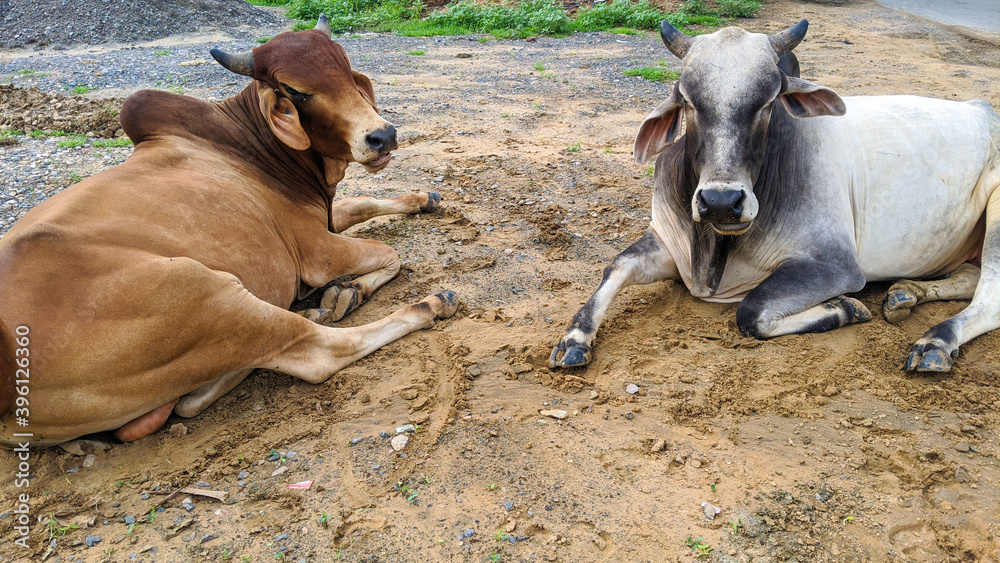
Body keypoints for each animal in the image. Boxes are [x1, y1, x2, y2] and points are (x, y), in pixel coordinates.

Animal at [0, 17, 457, 448]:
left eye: (346, 69)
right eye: (297, 91)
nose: (383, 136)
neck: (253, 146)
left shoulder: (325, 216)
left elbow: (363, 203)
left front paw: (424, 198)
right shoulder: (316, 251)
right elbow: (389, 254)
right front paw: (349, 291)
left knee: (189, 400)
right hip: (201, 290)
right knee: (317, 352)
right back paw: (427, 304)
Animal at [551, 19, 1000, 373]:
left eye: (769, 102)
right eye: (688, 101)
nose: (720, 202)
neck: (715, 248)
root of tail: (984, 107)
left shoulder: (834, 264)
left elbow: (751, 312)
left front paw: (846, 308)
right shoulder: (667, 240)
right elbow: (617, 266)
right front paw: (574, 337)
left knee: (989, 296)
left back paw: (936, 341)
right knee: (967, 276)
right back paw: (907, 293)